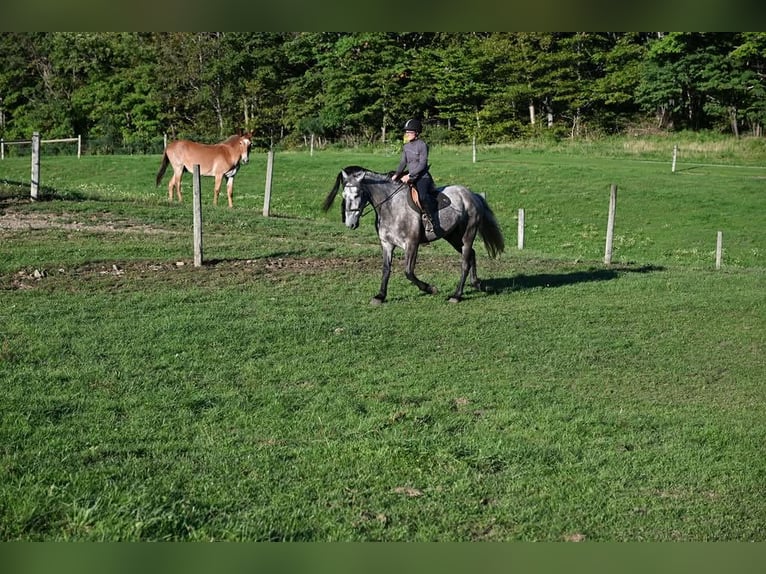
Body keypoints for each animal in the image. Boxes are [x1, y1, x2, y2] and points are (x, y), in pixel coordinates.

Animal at [322, 166, 505, 304]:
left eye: (357, 194)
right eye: (343, 195)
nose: (350, 224)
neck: (390, 206)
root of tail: (472, 194)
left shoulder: (411, 244)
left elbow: (408, 272)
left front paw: (430, 288)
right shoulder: (387, 244)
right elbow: (386, 269)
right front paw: (380, 296)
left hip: (467, 235)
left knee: (465, 262)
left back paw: (456, 295)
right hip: (452, 237)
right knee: (471, 254)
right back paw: (476, 284)